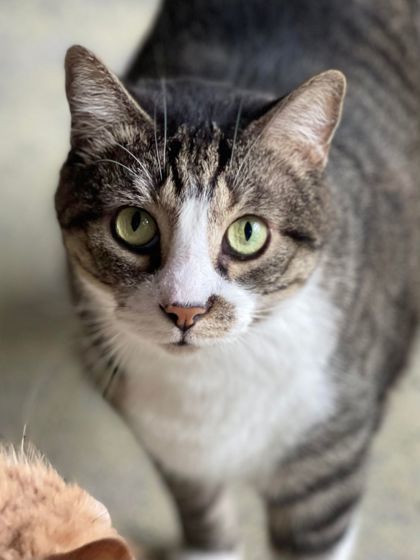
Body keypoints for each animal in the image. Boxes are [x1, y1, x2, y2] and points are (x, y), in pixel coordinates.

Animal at [55, 1, 420, 560]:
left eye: (248, 233)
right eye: (133, 225)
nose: (185, 309)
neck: (212, 381)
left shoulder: (328, 460)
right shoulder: (173, 448)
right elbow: (202, 510)